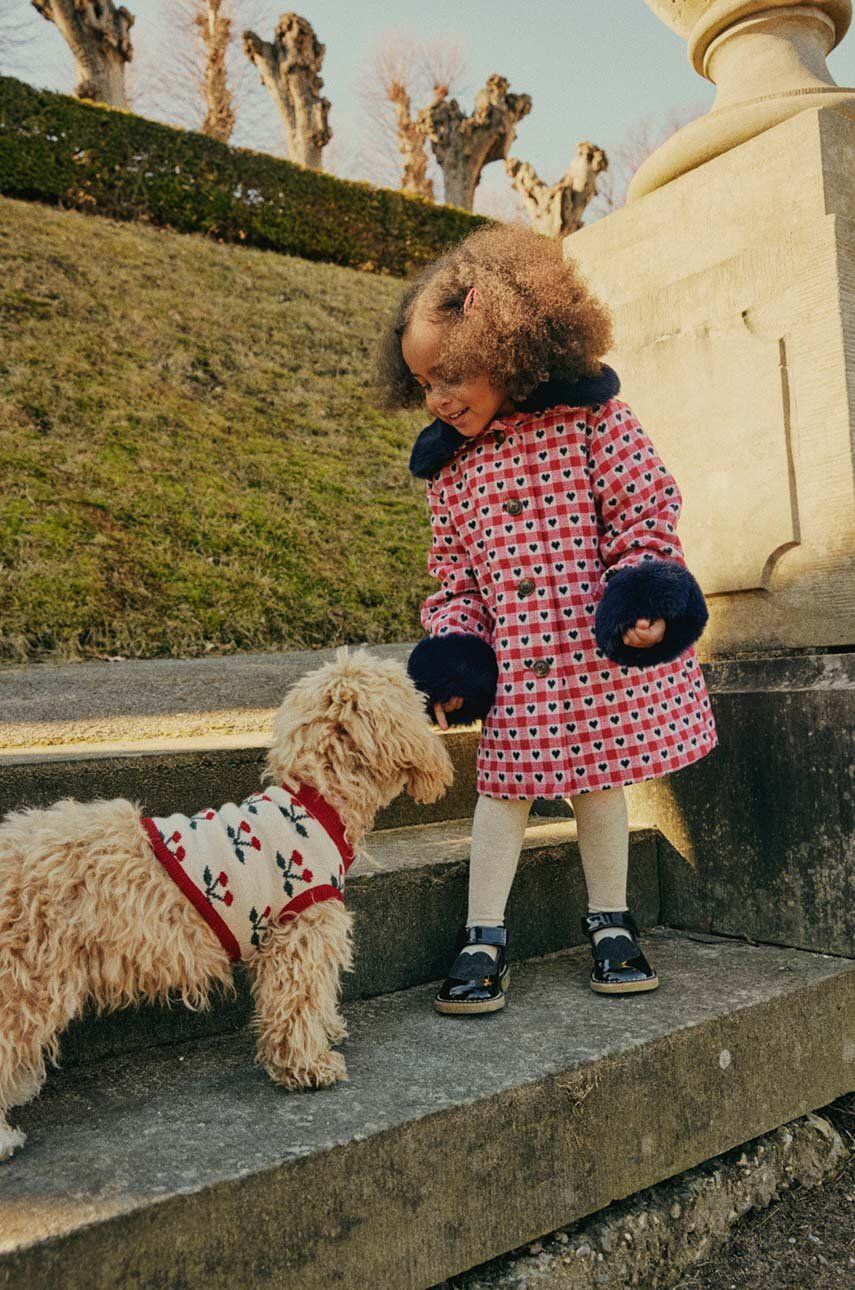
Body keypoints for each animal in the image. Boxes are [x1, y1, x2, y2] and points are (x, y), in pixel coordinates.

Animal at [0, 650, 453, 1166]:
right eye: (414, 697)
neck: (316, 801)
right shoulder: (300, 933)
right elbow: (298, 1002)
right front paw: (308, 1065)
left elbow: (312, 1000)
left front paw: (327, 1031)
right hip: (30, 977)